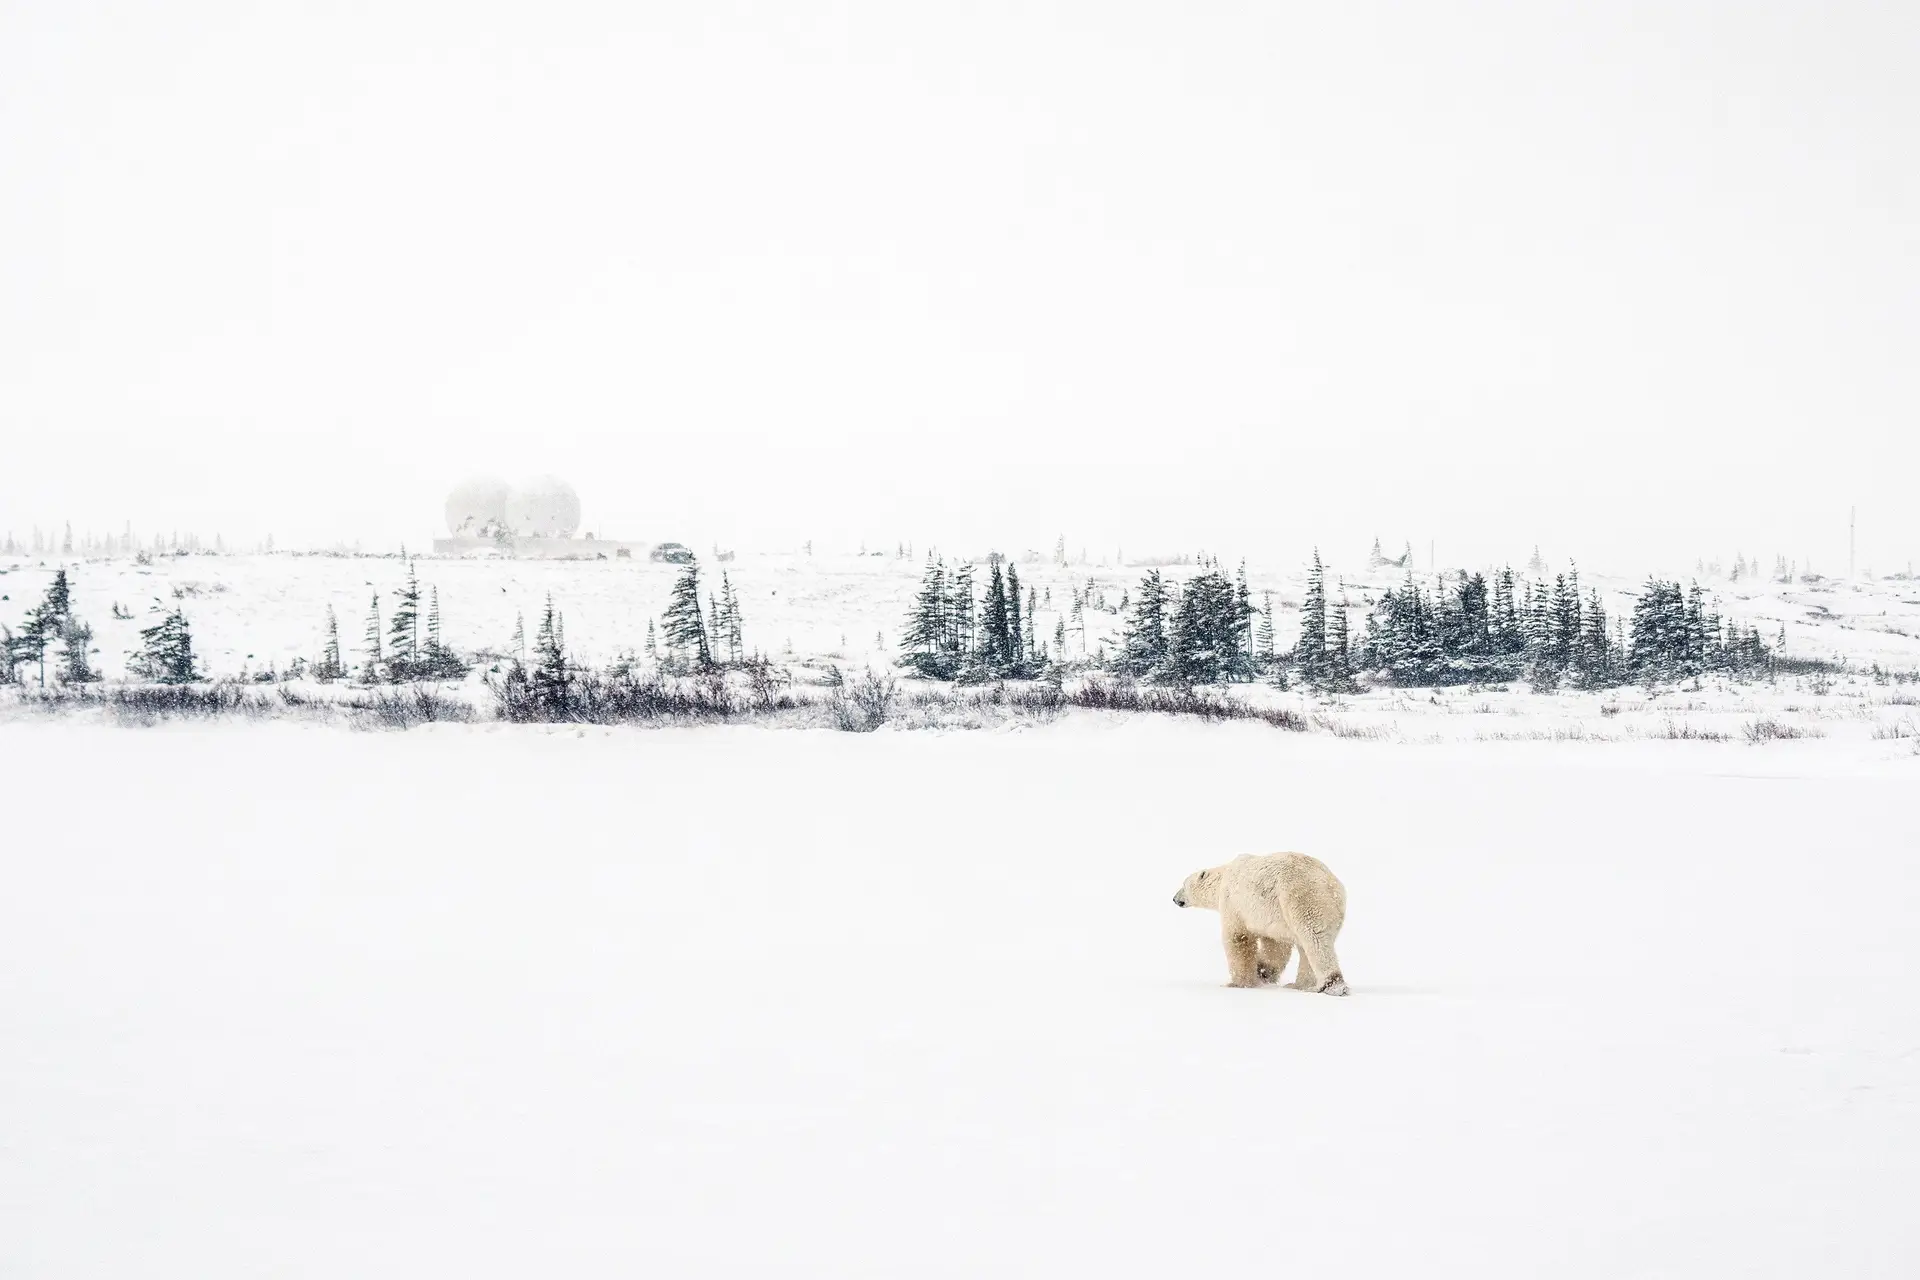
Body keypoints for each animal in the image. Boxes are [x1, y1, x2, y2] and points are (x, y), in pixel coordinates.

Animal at [1172, 852, 1349, 995]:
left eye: (1184, 885)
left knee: (1315, 940)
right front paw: (1263, 972)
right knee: (1306, 947)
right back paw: (1299, 985)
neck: (1224, 876)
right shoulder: (1272, 917)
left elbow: (1238, 938)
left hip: (1301, 897)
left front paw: (1239, 982)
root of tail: (1331, 884)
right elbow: (1275, 945)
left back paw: (1332, 985)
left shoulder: (1233, 904)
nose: (1174, 898)